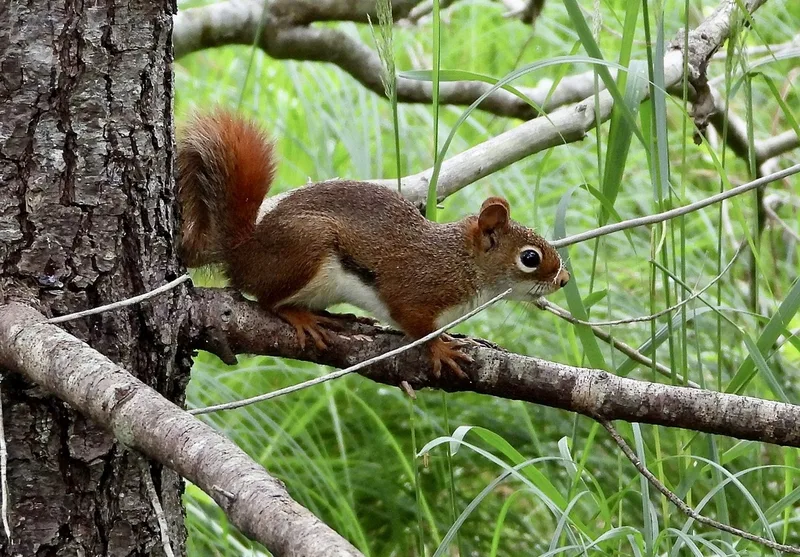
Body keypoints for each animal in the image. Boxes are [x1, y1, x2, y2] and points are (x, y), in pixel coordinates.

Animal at [177, 110, 570, 378]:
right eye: (530, 258)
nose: (564, 280)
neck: (461, 261)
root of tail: (244, 252)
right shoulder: (417, 291)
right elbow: (415, 325)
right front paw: (440, 350)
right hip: (305, 248)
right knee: (268, 300)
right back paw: (302, 317)